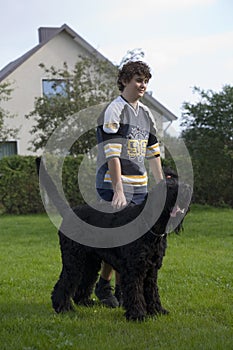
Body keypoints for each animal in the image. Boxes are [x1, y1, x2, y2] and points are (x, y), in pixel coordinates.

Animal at [36, 157, 191, 322]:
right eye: (170, 186)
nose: (187, 188)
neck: (152, 227)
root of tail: (69, 213)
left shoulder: (152, 269)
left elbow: (152, 291)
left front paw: (157, 310)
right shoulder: (134, 268)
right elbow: (135, 291)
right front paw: (138, 315)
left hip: (90, 261)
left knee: (85, 281)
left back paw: (84, 302)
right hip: (74, 260)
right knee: (65, 282)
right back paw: (63, 307)